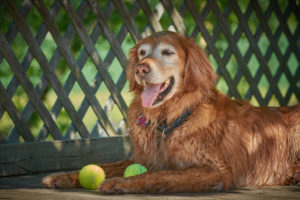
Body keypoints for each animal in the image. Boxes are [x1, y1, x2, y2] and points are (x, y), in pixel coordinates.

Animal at [42, 31, 300, 194]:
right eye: (142, 53)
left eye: (167, 52)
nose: (141, 68)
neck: (169, 120)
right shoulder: (143, 158)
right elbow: (106, 165)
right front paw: (63, 177)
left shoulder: (217, 171)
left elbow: (157, 175)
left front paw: (121, 183)